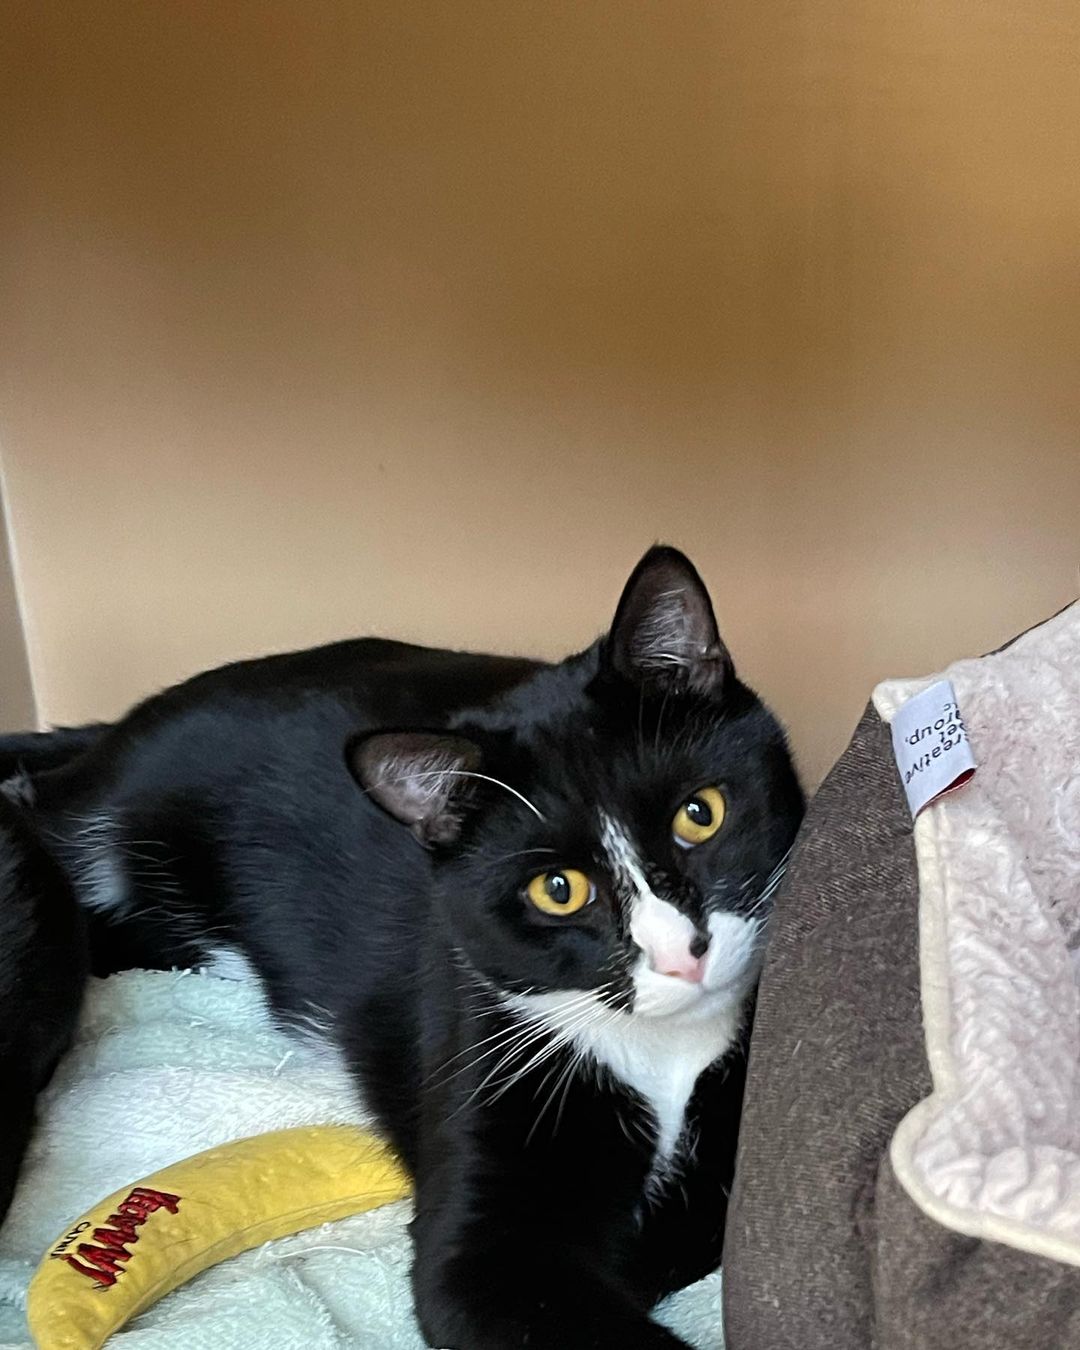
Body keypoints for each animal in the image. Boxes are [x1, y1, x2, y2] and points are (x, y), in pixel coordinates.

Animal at [0, 542, 799, 1344]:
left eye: (700, 813)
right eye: (558, 889)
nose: (682, 955)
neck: (664, 1049)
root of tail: (122, 730)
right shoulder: (481, 1042)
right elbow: (485, 1267)